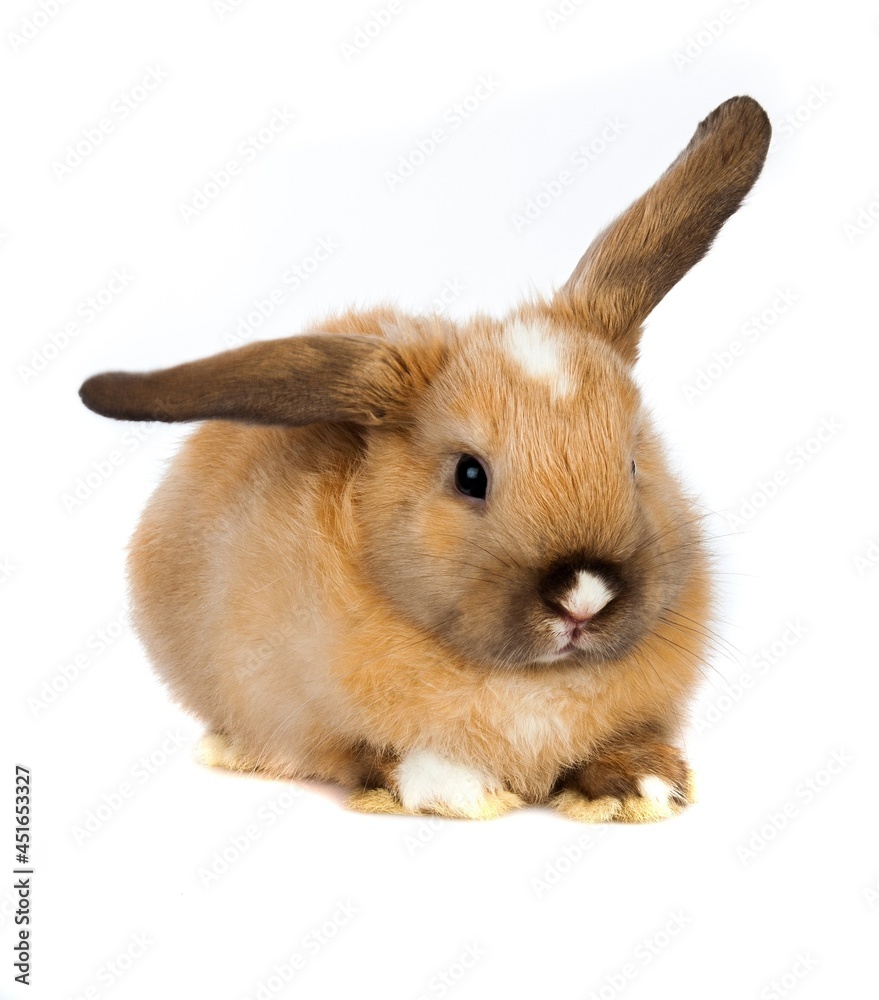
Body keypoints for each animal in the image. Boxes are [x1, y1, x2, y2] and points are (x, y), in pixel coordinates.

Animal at [79, 96, 771, 822]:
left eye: (633, 464)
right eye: (469, 475)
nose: (583, 599)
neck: (532, 683)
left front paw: (642, 783)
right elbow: (386, 753)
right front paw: (465, 790)